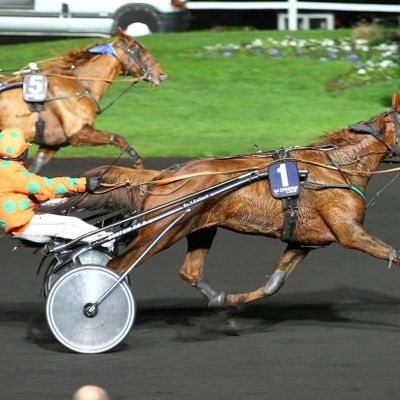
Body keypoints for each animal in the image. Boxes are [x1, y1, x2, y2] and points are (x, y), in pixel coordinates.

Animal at [0, 27, 166, 172]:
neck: (79, 85)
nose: (161, 74)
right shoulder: (78, 133)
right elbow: (118, 138)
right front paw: (138, 165)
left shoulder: (51, 145)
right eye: (139, 49)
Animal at [73, 94, 400, 310]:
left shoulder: (304, 241)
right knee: (116, 267)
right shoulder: (350, 232)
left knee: (189, 271)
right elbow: (393, 253)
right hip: (160, 232)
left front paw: (233, 301)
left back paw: (216, 297)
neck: (336, 166)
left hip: (199, 228)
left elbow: (273, 283)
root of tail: (164, 175)